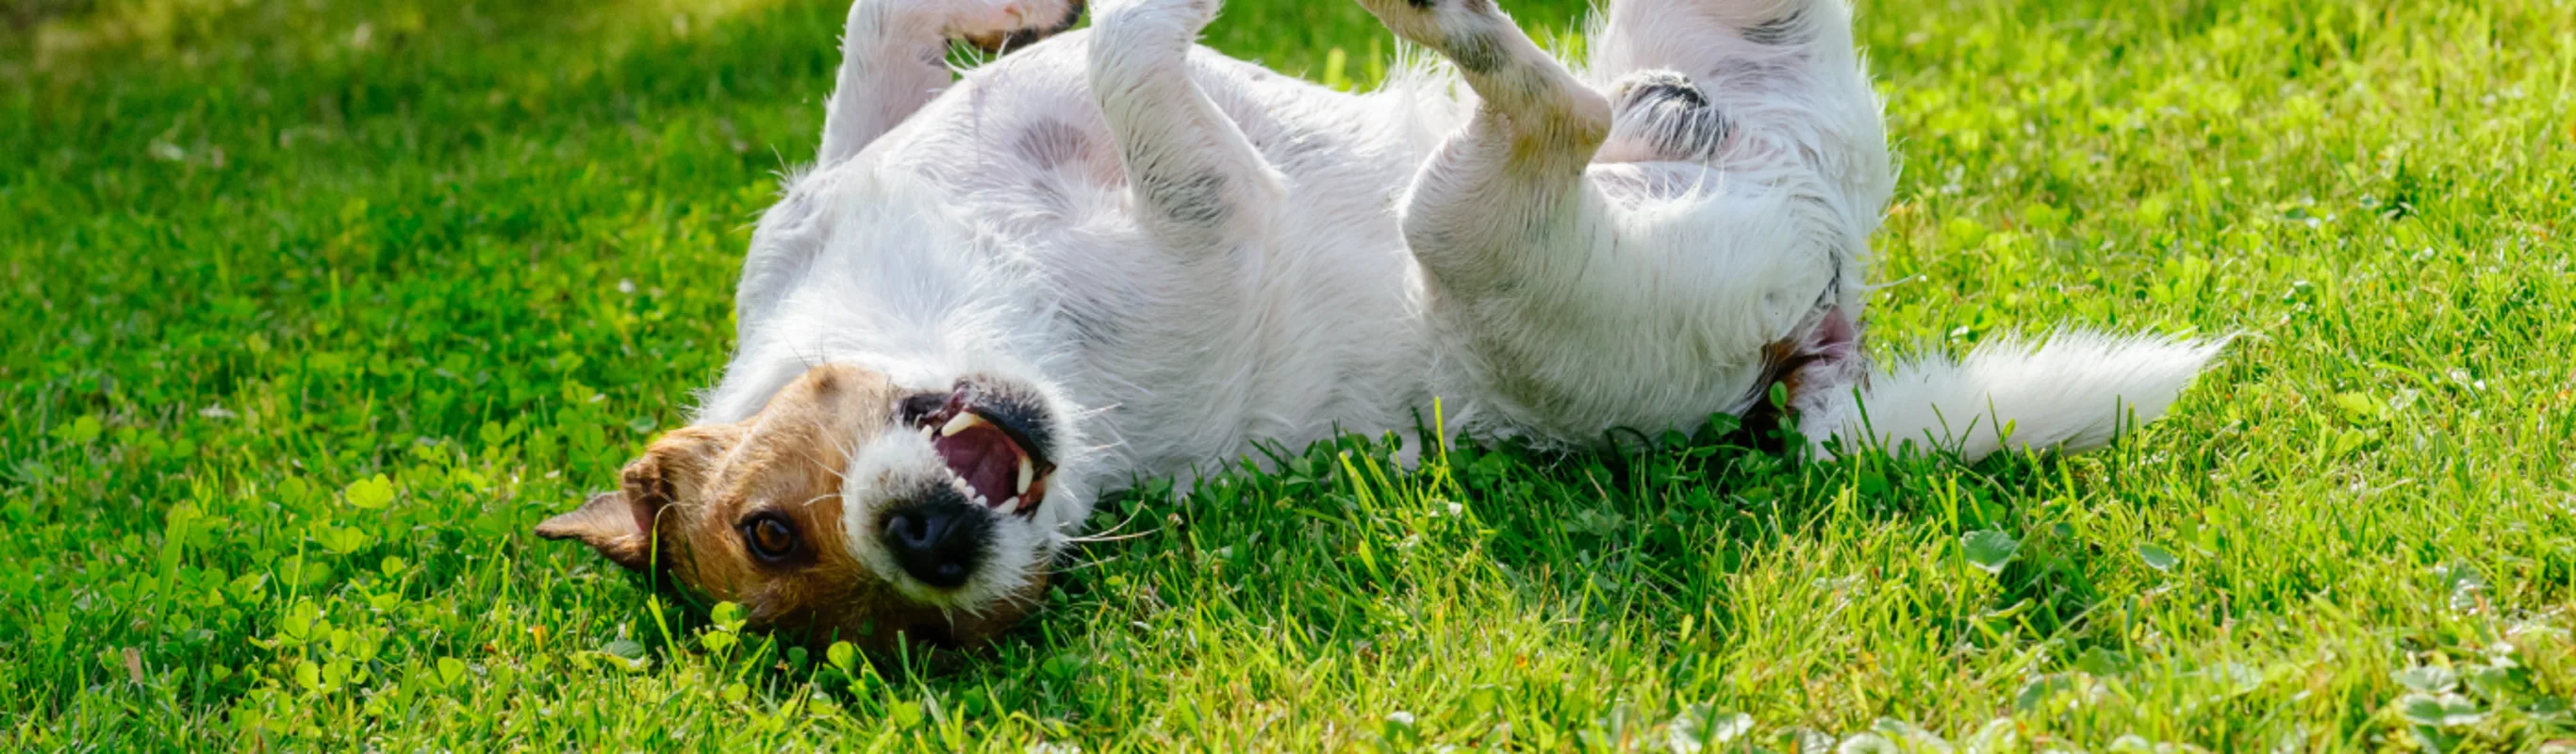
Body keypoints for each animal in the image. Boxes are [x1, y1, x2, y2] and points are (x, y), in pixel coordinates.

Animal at [537, 0, 2215, 648]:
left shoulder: (827, 189)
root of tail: (1816, 337)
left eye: (764, 522)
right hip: (1470, 227)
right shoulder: (1207, 201)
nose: (932, 548)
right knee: (1558, 110)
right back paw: (1465, 31)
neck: (955, 299)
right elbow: (1138, 51)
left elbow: (884, 44)